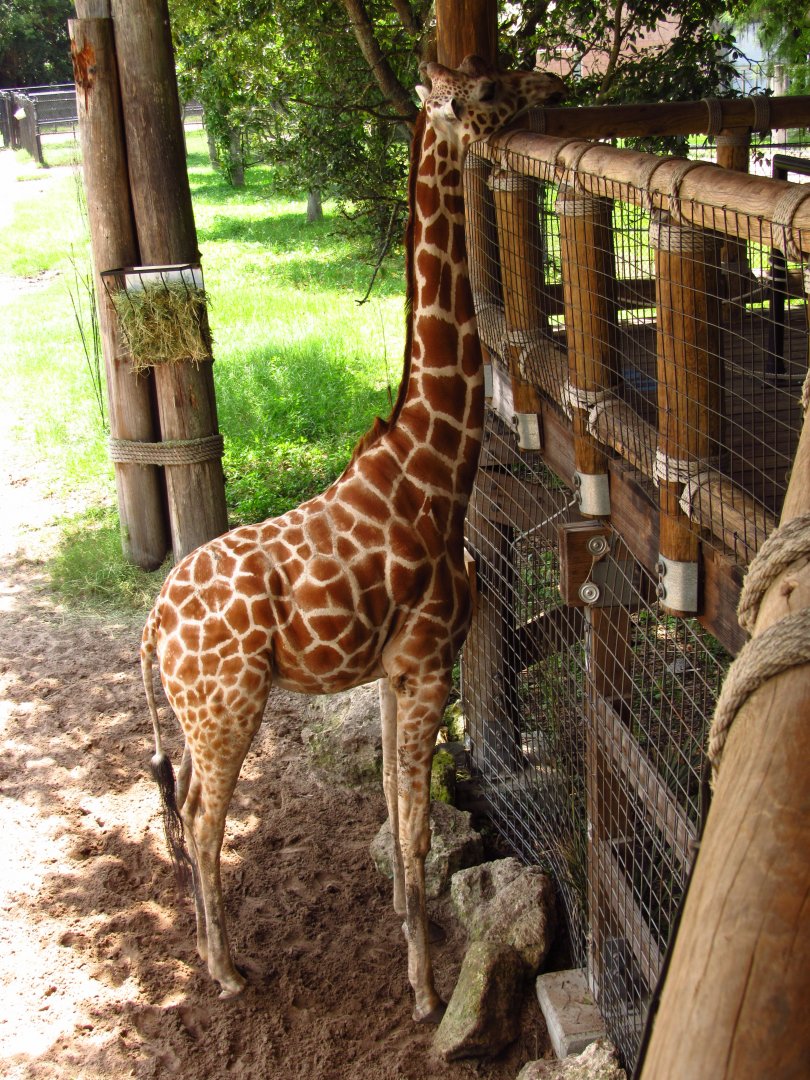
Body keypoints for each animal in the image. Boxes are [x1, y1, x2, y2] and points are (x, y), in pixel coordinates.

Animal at [142, 56, 565, 1022]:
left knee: (186, 807)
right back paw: (225, 971)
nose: (551, 83)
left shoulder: (390, 671)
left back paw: (221, 956)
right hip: (228, 707)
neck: (438, 469)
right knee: (202, 821)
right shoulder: (425, 663)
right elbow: (413, 831)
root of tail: (150, 627)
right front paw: (424, 991)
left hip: (200, 714)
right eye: (487, 89)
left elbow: (396, 817)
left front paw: (412, 943)